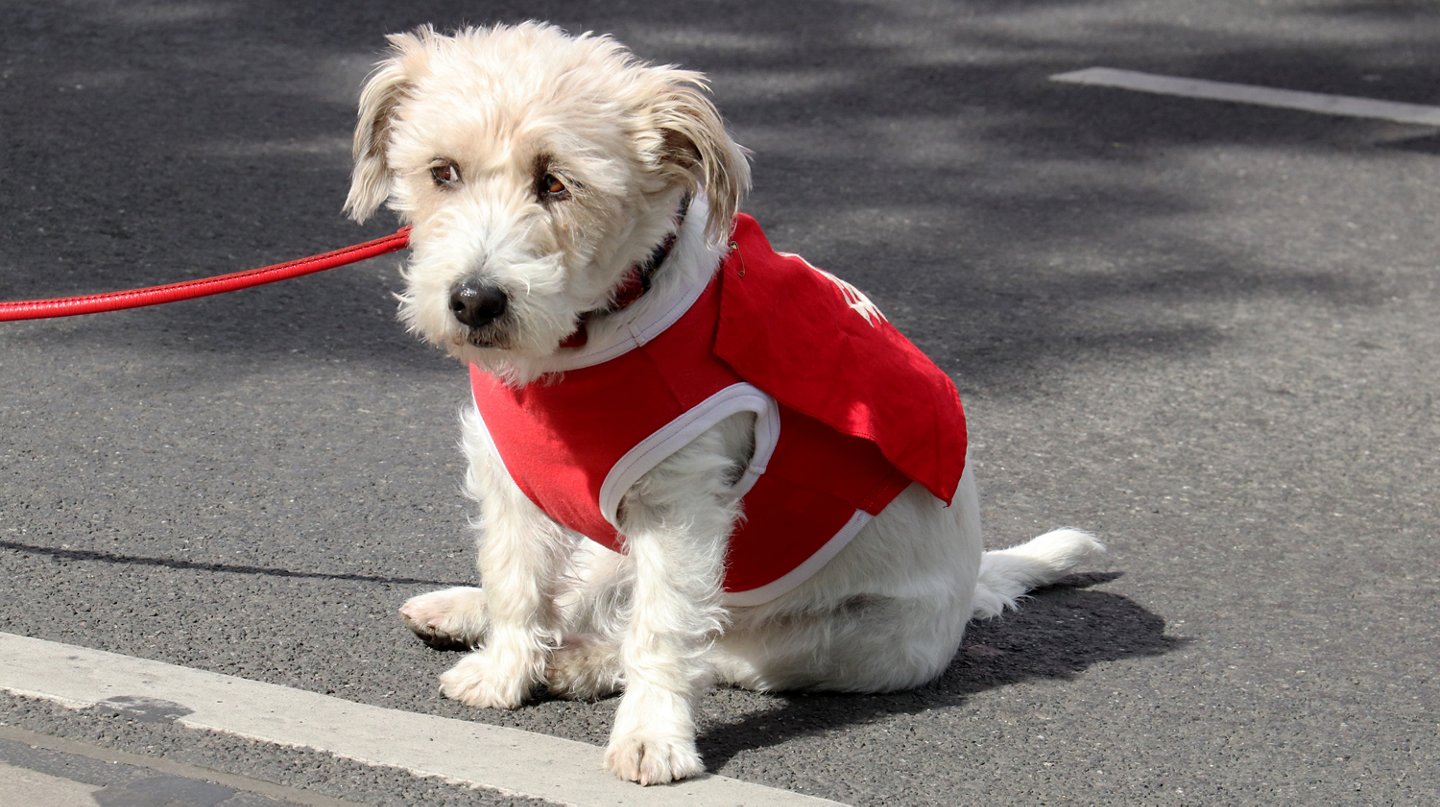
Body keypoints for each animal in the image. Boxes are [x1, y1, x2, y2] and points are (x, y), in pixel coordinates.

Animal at [339, 22, 1100, 783]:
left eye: (557, 182)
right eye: (443, 172)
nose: (473, 301)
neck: (584, 340)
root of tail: (974, 583)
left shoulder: (680, 511)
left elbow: (663, 631)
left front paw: (652, 735)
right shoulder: (511, 481)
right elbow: (516, 581)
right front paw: (502, 670)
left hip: (836, 642)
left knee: (699, 647)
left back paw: (581, 664)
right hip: (615, 546)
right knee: (584, 595)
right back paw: (464, 612)